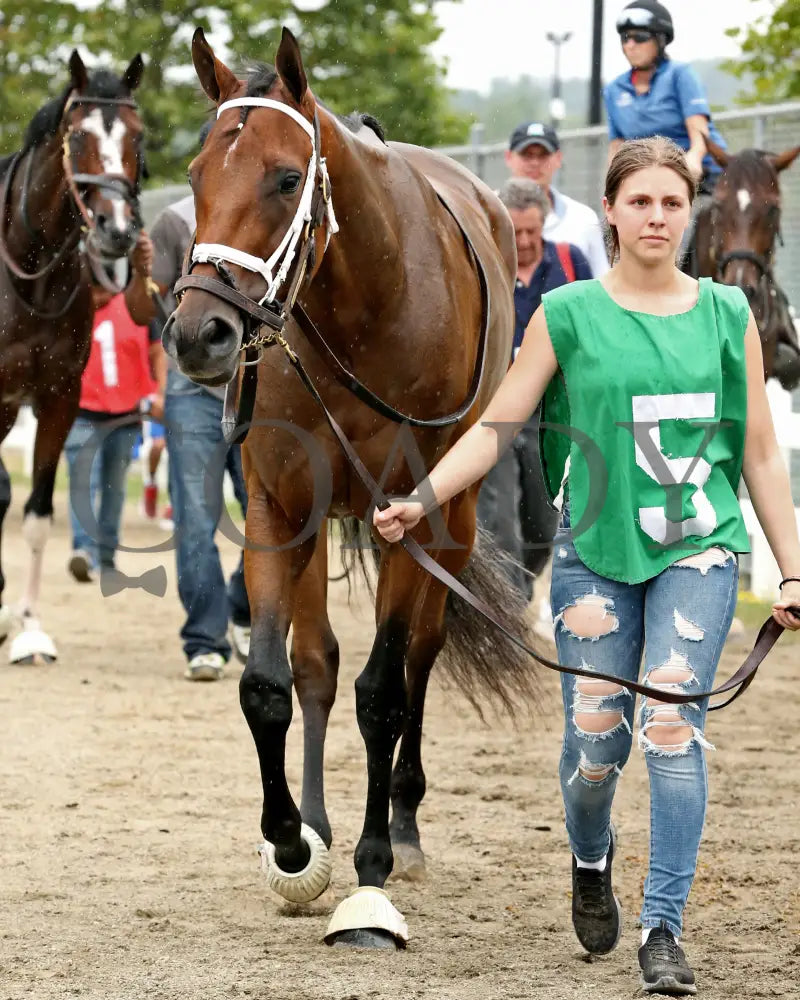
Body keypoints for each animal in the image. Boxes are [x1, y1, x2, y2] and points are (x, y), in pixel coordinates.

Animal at [163, 27, 536, 948]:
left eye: (284, 177)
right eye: (195, 173)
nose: (198, 332)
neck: (366, 305)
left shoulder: (410, 515)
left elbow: (385, 693)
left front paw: (371, 871)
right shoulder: (279, 506)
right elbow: (272, 683)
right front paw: (293, 839)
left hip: (456, 522)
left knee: (422, 658)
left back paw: (400, 826)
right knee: (317, 666)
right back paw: (320, 820)